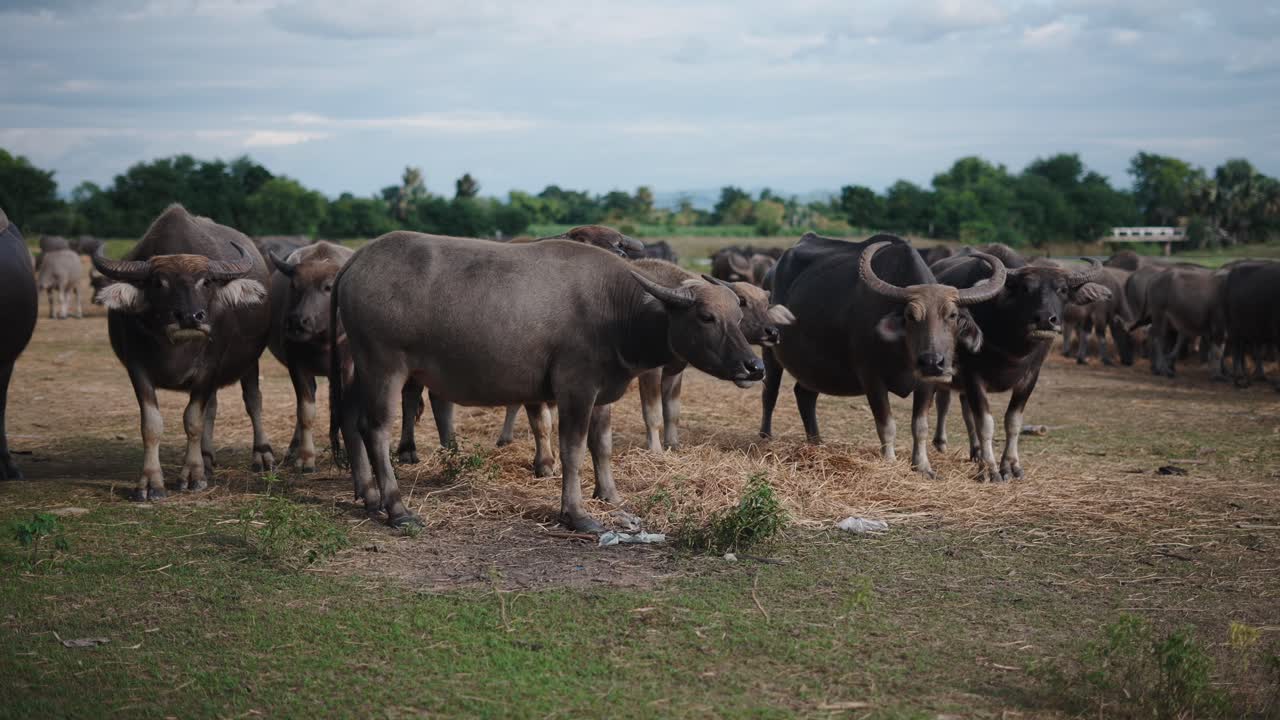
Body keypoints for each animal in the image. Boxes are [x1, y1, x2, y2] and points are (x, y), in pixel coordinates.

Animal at [93, 205, 275, 500]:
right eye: (158, 283)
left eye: (206, 282)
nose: (191, 317)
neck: (175, 348)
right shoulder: (137, 368)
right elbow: (152, 424)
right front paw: (151, 483)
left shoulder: (208, 368)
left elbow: (193, 420)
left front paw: (193, 476)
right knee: (213, 407)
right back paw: (207, 456)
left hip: (250, 362)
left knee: (253, 401)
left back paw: (262, 455)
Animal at [331, 232, 763, 531]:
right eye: (706, 317)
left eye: (737, 316)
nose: (754, 366)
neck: (616, 310)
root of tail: (355, 262)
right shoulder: (576, 389)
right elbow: (572, 450)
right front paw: (577, 513)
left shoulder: (602, 393)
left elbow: (602, 446)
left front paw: (610, 495)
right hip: (384, 367)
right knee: (376, 429)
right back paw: (397, 508)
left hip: (360, 371)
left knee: (351, 421)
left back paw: (368, 495)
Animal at [760, 233, 1005, 478]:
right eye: (910, 315)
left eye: (952, 315)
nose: (931, 362)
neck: (903, 352)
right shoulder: (872, 379)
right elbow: (887, 425)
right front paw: (890, 462)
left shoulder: (928, 383)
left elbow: (920, 426)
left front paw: (923, 466)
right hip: (769, 352)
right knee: (770, 393)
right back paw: (766, 438)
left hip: (814, 368)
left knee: (805, 395)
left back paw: (816, 443)